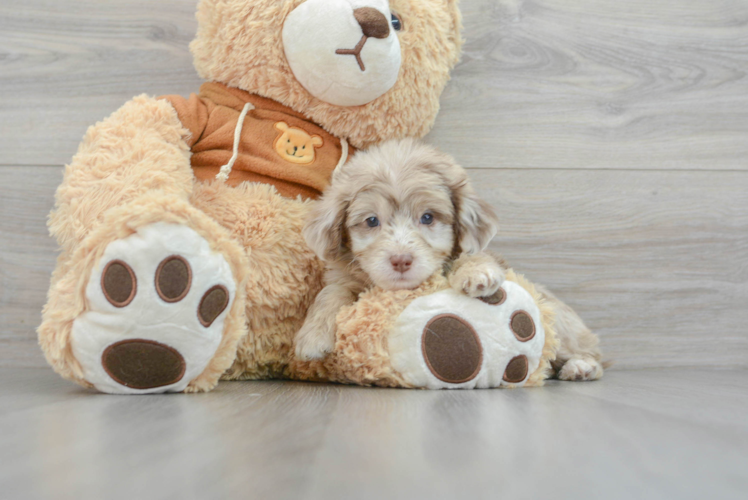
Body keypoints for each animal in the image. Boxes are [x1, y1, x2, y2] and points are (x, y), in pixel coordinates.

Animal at [296, 139, 604, 380]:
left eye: (427, 217)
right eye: (372, 221)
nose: (401, 260)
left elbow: (469, 256)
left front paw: (477, 273)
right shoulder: (343, 276)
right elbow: (330, 293)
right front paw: (312, 336)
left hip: (562, 324)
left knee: (589, 353)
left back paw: (580, 367)